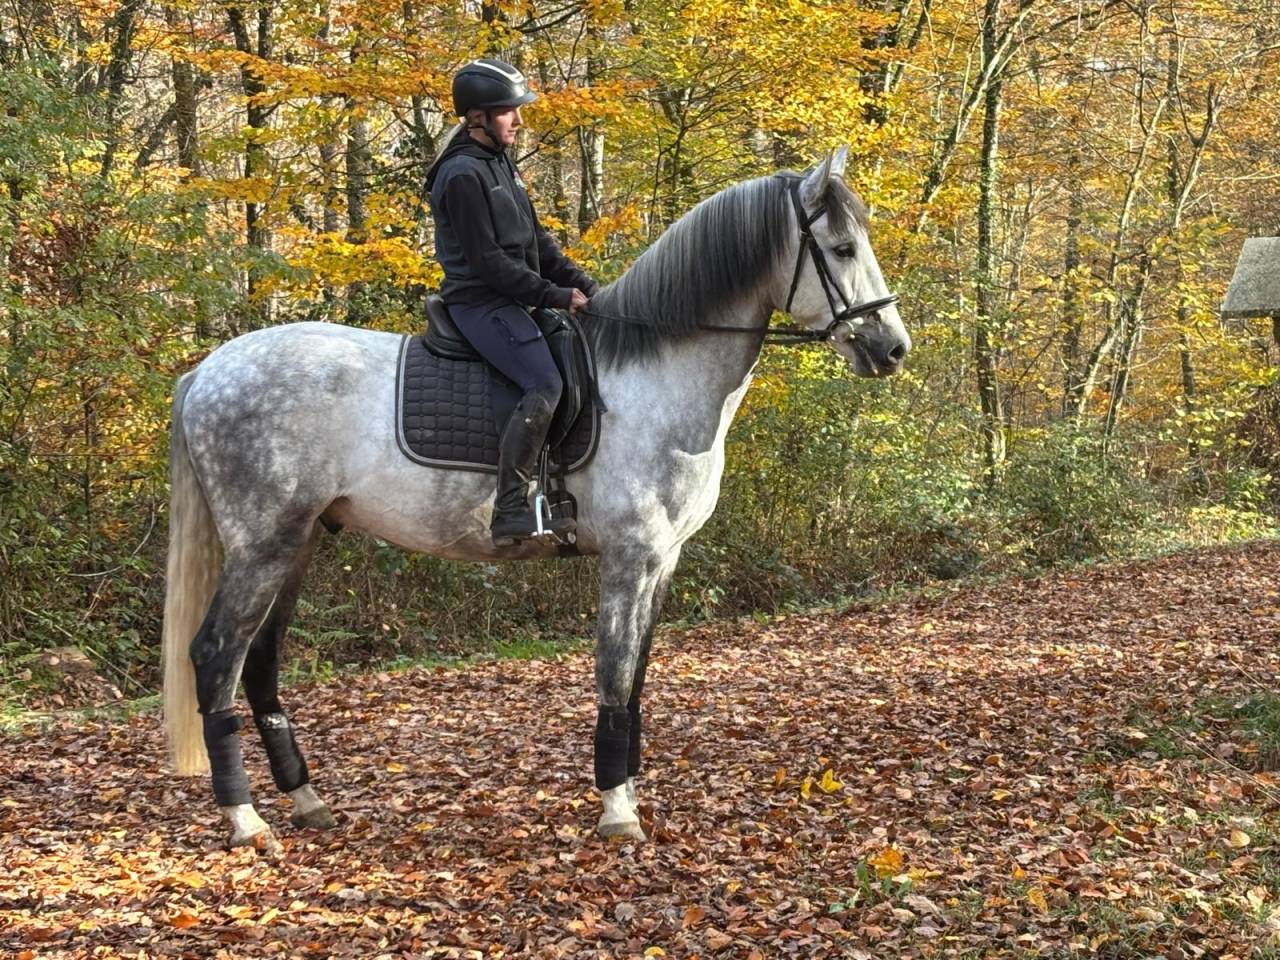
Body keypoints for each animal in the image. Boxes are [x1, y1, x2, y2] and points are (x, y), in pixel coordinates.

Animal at [161, 146, 911, 854]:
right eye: (842, 249)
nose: (893, 349)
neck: (653, 376)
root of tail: (206, 372)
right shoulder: (631, 557)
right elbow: (614, 677)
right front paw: (617, 810)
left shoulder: (663, 561)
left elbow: (637, 683)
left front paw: (628, 791)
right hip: (265, 545)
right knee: (217, 655)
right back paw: (245, 819)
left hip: (303, 539)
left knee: (258, 660)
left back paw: (306, 801)